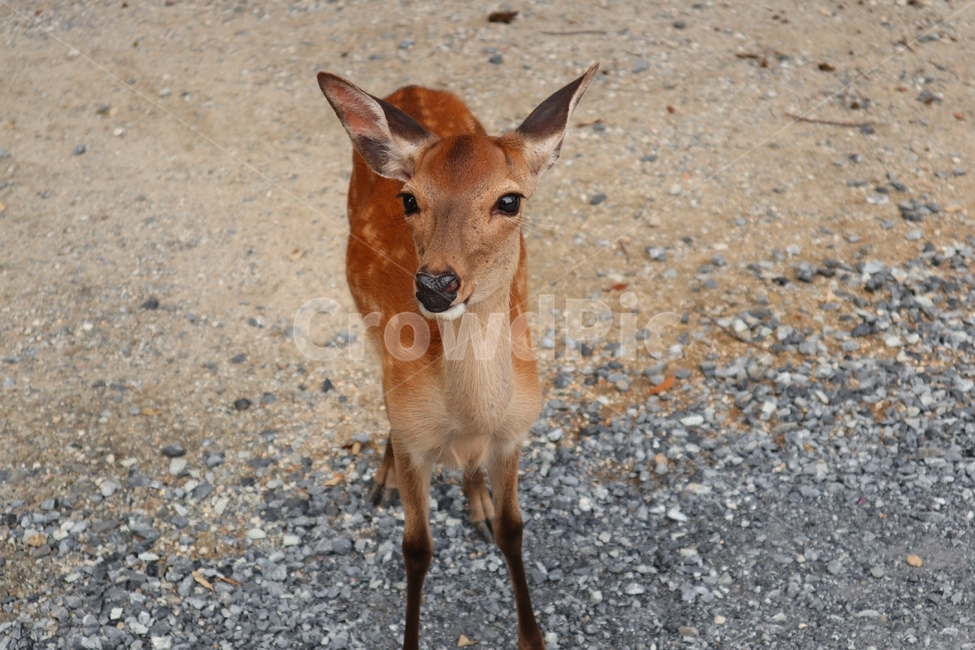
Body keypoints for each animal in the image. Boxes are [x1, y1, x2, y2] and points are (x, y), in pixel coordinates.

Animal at [316, 62, 599, 650]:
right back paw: (384, 477)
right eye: (408, 199)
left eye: (510, 200)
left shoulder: (515, 432)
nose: (435, 285)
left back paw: (476, 501)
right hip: (364, 316)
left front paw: (532, 636)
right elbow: (415, 549)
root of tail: (413, 87)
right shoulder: (415, 439)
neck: (469, 416)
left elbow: (514, 530)